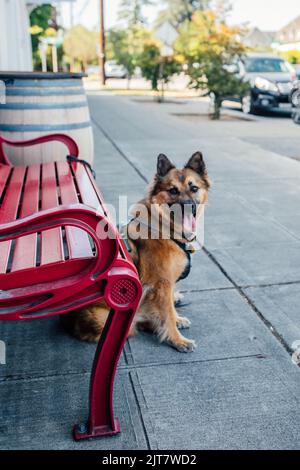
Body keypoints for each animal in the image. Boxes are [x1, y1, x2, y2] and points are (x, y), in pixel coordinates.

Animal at [61, 152, 209, 350]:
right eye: (173, 190)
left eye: (193, 188)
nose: (187, 205)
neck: (164, 227)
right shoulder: (162, 283)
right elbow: (167, 314)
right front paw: (177, 339)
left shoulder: (166, 283)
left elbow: (169, 308)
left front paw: (176, 320)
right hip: (108, 319)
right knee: (135, 324)